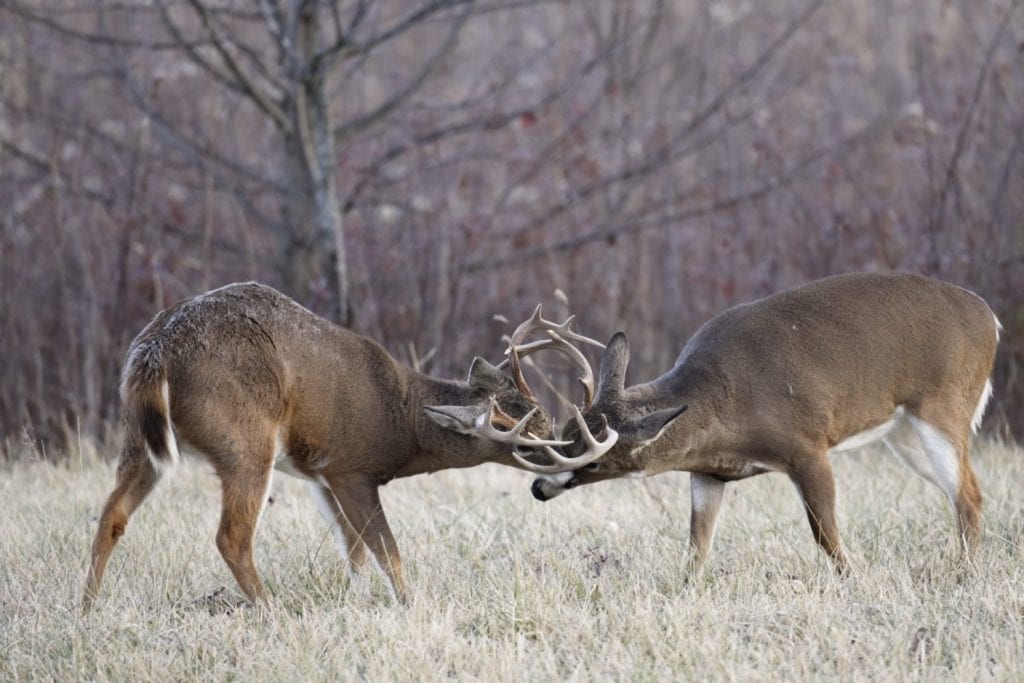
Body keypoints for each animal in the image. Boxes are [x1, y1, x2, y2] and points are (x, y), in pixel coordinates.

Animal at [83, 282, 603, 610]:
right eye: (528, 444)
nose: (562, 476)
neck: (401, 419)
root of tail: (155, 354)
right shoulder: (351, 468)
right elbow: (386, 550)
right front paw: (409, 607)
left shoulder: (318, 472)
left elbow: (354, 552)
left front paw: (351, 603)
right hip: (244, 440)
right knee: (232, 536)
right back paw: (270, 610)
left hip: (139, 440)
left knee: (112, 515)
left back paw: (87, 608)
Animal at [514, 272, 1000, 576]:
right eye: (567, 433)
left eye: (595, 461)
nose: (538, 487)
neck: (727, 404)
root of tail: (989, 317)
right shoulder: (708, 473)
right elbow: (697, 545)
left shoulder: (808, 445)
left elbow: (825, 534)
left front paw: (860, 581)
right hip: (904, 434)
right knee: (961, 494)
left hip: (943, 406)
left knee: (969, 495)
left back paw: (963, 574)